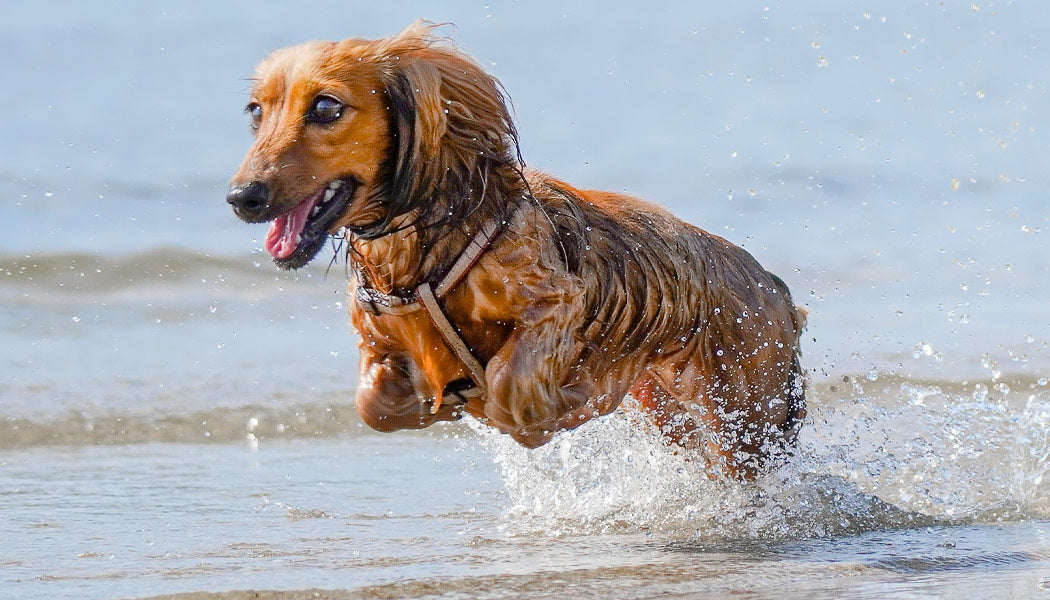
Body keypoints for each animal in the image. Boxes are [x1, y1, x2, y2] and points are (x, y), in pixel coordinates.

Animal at [227, 21, 802, 479]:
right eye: (255, 112)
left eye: (326, 106)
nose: (241, 197)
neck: (421, 254)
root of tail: (774, 285)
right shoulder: (378, 344)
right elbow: (373, 404)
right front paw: (436, 404)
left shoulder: (555, 302)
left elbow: (510, 391)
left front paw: (560, 403)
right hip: (676, 416)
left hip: (747, 422)